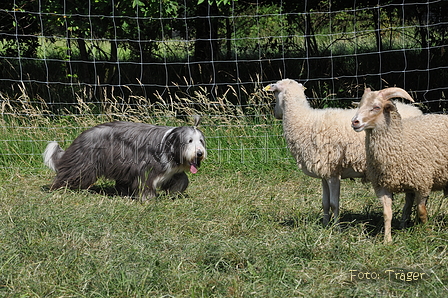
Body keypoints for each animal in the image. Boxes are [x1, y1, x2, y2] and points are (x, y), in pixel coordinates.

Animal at [42, 117, 206, 200]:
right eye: (190, 141)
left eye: (200, 141)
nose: (199, 153)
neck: (169, 144)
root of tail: (81, 136)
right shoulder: (145, 168)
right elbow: (146, 183)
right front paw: (148, 199)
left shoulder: (171, 171)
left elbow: (183, 178)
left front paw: (174, 191)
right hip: (84, 164)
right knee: (70, 175)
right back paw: (59, 188)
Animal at [264, 79, 422, 226]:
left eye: (275, 92)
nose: (275, 114)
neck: (304, 120)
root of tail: (416, 111)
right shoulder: (324, 172)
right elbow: (325, 203)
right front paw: (325, 225)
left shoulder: (333, 173)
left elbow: (334, 204)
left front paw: (336, 228)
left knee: (411, 197)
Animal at [352, 86, 448, 242]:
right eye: (360, 105)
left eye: (376, 107)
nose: (355, 122)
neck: (400, 141)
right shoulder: (383, 187)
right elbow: (387, 214)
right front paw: (387, 240)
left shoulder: (423, 184)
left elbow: (422, 211)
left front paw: (428, 232)